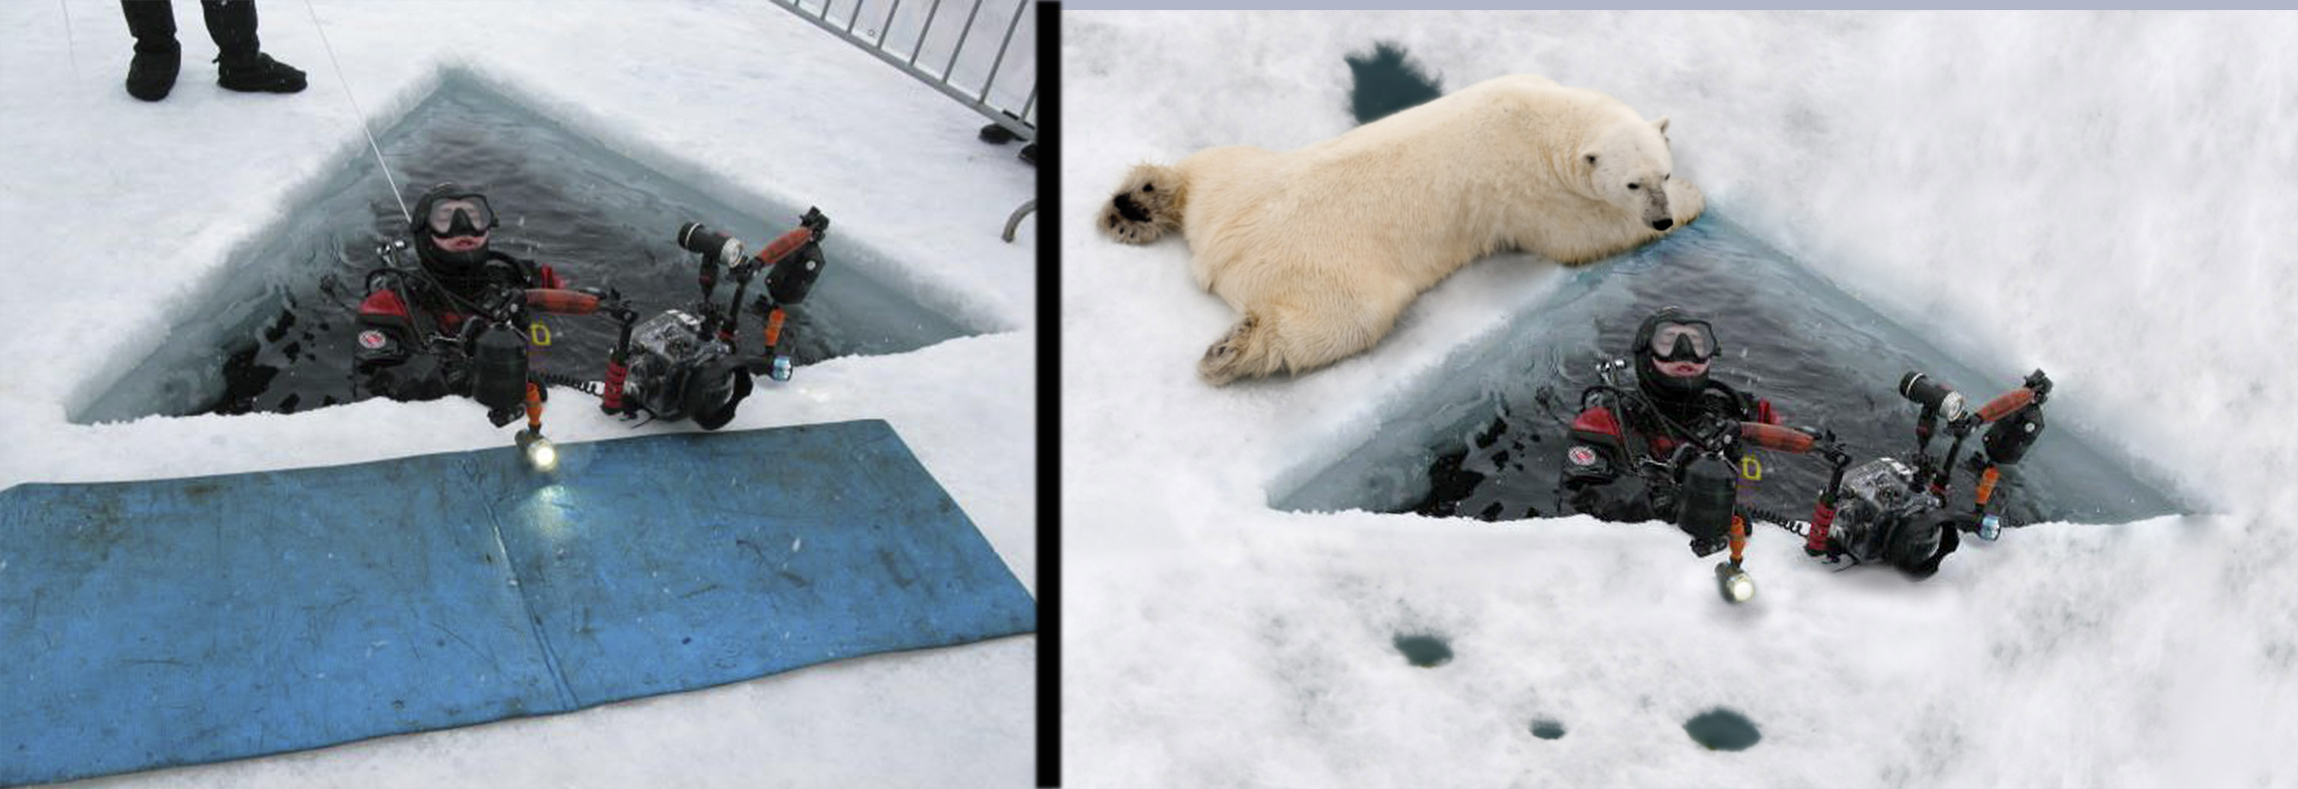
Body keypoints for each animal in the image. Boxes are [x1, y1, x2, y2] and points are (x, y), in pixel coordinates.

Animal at [1097, 74, 1705, 386]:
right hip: (1326, 265)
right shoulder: (1529, 190)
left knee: (1209, 167)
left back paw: (1136, 204)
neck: (1543, 118)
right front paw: (1694, 199)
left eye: (1660, 171)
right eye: (1634, 184)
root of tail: (1222, 249)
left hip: (1244, 180)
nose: (1660, 215)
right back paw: (1229, 351)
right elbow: (1578, 235)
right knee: (1339, 323)